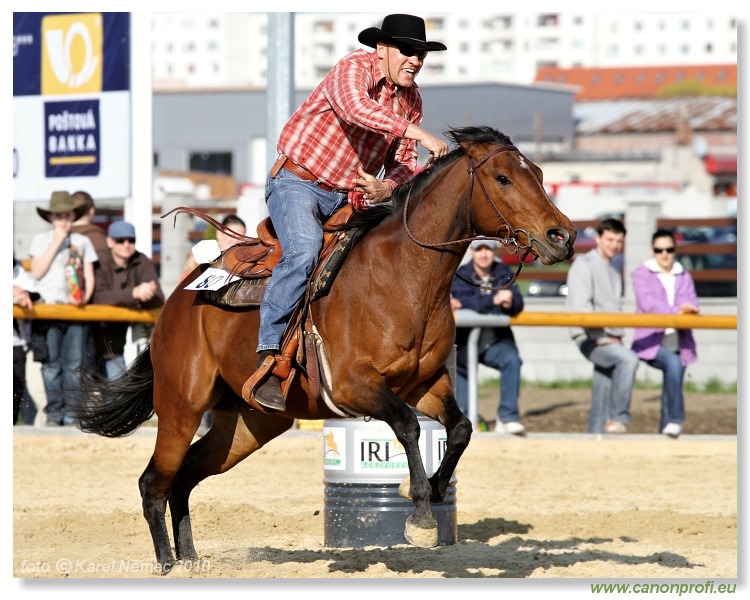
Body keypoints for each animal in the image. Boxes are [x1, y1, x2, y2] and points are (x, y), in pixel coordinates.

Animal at [75, 126, 576, 572]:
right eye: (503, 178)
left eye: (539, 173)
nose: (563, 236)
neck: (400, 275)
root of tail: (176, 301)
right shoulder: (354, 386)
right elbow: (408, 427)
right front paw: (418, 513)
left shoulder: (426, 383)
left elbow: (460, 429)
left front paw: (432, 492)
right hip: (180, 407)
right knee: (154, 482)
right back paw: (167, 563)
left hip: (245, 427)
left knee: (182, 480)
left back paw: (191, 559)